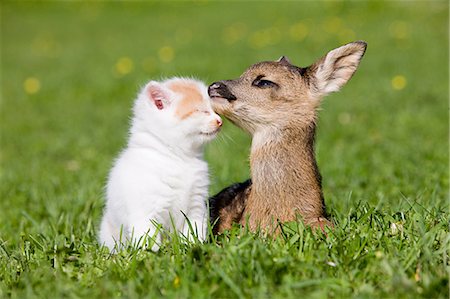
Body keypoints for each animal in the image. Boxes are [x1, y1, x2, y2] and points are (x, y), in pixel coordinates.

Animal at [100, 78, 223, 253]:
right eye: (202, 111)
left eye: (214, 110)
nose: (220, 121)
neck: (179, 158)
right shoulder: (146, 211)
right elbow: (148, 239)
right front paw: (151, 255)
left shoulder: (196, 206)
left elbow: (193, 231)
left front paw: (193, 247)